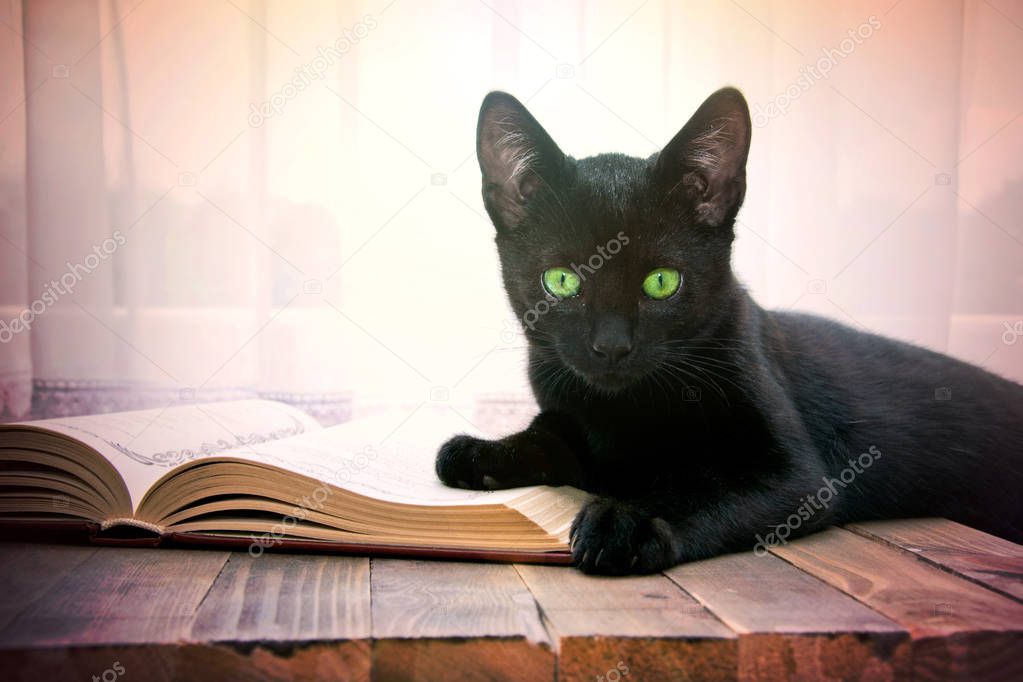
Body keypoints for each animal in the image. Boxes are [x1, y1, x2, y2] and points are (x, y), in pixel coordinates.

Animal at [433, 86, 1023, 576]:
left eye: (662, 282)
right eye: (561, 280)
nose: (611, 346)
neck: (624, 413)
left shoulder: (796, 475)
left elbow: (700, 486)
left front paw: (627, 521)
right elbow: (549, 436)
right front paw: (481, 453)